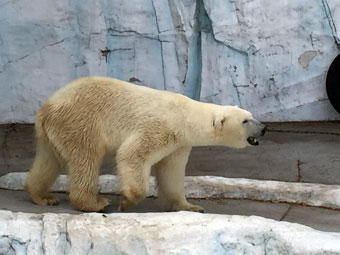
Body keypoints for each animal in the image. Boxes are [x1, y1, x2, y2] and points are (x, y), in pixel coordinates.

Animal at [25, 76, 266, 212]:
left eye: (251, 116)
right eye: (245, 121)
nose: (263, 128)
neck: (185, 115)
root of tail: (46, 108)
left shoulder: (179, 143)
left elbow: (171, 171)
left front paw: (190, 207)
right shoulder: (160, 127)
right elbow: (132, 155)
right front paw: (127, 201)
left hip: (54, 132)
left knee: (50, 160)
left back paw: (43, 196)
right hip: (80, 123)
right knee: (85, 159)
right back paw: (95, 203)